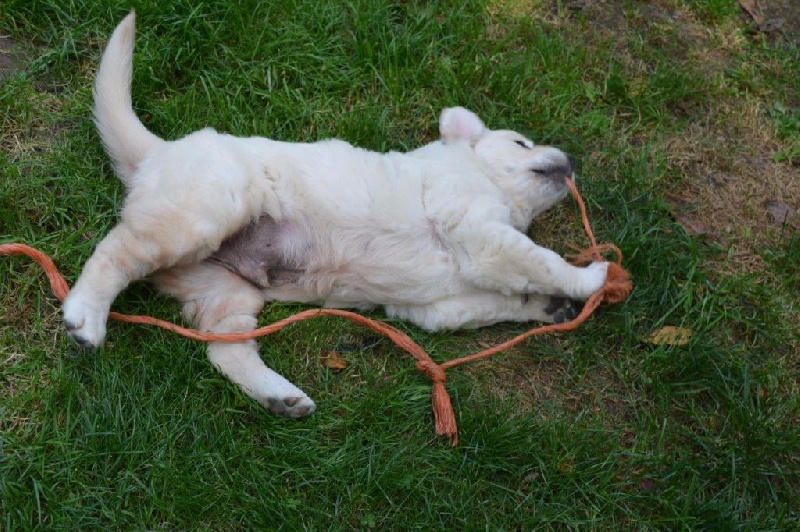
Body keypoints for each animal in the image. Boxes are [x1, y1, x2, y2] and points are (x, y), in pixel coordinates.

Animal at [63, 12, 609, 417]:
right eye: (520, 143)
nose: (571, 161)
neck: (485, 178)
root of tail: (156, 153)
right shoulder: (476, 227)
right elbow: (540, 260)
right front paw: (594, 276)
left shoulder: (441, 305)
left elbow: (506, 297)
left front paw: (550, 307)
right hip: (201, 213)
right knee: (115, 251)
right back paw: (85, 318)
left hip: (222, 287)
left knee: (224, 346)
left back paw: (280, 397)